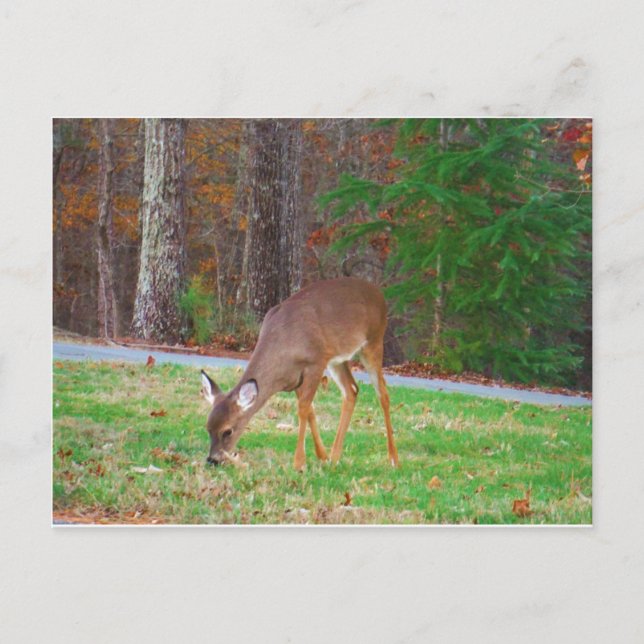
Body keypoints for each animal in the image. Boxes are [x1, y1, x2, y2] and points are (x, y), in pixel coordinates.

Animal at [199, 277, 399, 470]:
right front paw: (322, 456)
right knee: (352, 390)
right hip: (337, 358)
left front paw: (299, 463)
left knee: (383, 394)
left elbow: (303, 409)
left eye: (228, 431)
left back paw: (393, 459)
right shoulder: (295, 378)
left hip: (373, 342)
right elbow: (310, 409)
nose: (213, 460)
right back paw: (334, 457)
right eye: (208, 428)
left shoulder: (315, 363)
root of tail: (379, 294)